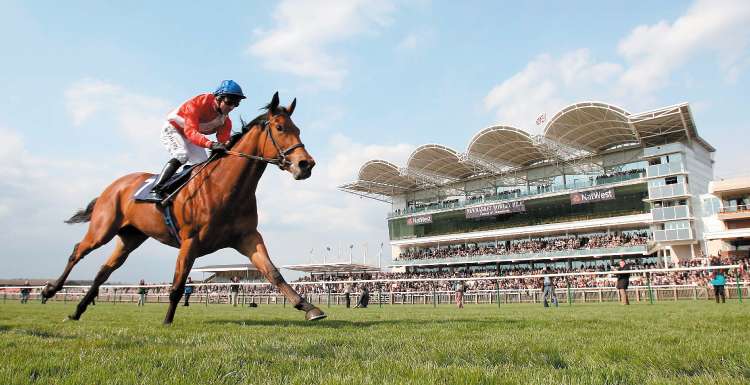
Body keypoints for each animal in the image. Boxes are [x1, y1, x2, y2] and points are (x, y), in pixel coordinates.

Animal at [41, 91, 326, 322]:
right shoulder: (190, 240)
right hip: (103, 228)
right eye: (279, 128)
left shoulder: (247, 237)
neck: (225, 187)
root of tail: (115, 185)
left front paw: (310, 308)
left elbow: (273, 273)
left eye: (298, 129)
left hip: (131, 237)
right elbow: (177, 285)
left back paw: (77, 311)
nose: (306, 164)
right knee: (77, 251)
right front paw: (167, 321)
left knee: (104, 271)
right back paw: (49, 290)